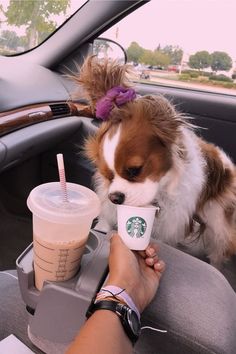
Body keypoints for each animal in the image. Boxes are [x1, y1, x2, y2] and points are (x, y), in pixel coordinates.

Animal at [76, 56, 235, 266]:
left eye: (135, 170)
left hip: (217, 221)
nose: (116, 198)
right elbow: (105, 220)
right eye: (108, 176)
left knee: (218, 248)